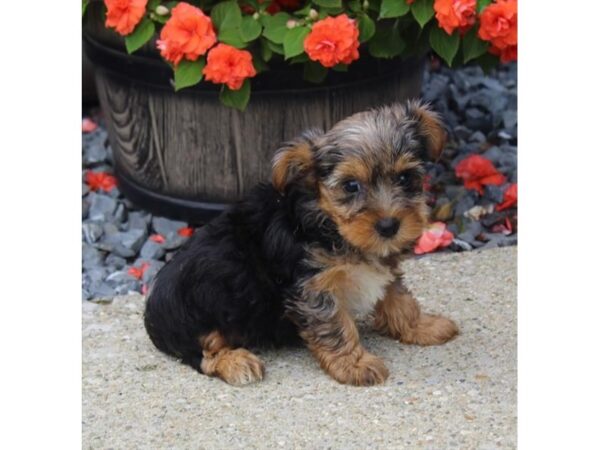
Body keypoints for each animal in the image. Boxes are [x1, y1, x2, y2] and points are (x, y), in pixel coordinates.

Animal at [144, 102, 460, 386]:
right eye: (351, 186)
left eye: (406, 178)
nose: (389, 226)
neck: (331, 226)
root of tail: (151, 314)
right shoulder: (313, 289)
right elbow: (335, 327)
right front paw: (354, 365)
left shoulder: (383, 267)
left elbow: (399, 297)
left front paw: (422, 325)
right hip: (200, 311)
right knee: (204, 354)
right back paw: (237, 362)